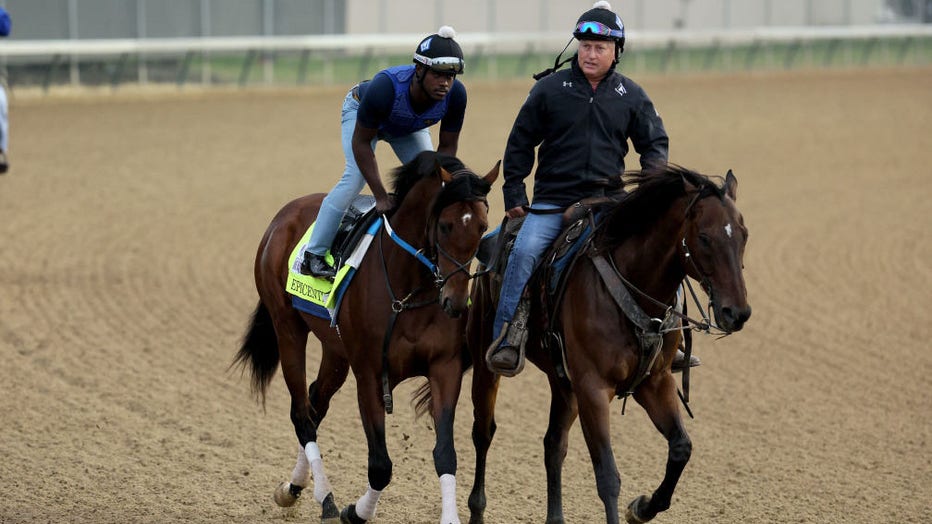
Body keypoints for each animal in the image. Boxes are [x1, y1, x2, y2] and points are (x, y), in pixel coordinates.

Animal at [237, 151, 498, 524]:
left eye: (482, 227)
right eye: (446, 225)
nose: (456, 302)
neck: (407, 293)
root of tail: (285, 213)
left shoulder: (444, 368)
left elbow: (446, 455)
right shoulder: (370, 374)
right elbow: (380, 466)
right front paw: (356, 511)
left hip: (335, 351)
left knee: (315, 403)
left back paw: (294, 486)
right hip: (287, 327)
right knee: (302, 415)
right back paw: (326, 498)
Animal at [466, 165, 748, 524]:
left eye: (744, 235)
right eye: (704, 238)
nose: (737, 313)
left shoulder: (654, 383)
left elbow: (681, 448)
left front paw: (641, 508)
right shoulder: (594, 389)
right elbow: (608, 476)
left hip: (564, 384)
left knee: (554, 445)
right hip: (486, 362)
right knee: (483, 432)